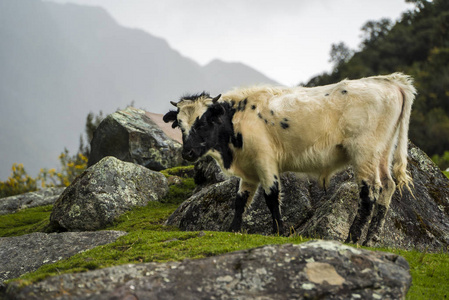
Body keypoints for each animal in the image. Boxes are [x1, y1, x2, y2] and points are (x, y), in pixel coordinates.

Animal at [163, 74, 414, 245]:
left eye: (203, 122)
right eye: (179, 125)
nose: (187, 153)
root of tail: (390, 81)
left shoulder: (265, 161)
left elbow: (271, 197)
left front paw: (279, 232)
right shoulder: (249, 170)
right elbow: (240, 200)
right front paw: (233, 229)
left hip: (364, 153)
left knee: (369, 192)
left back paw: (352, 238)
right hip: (383, 152)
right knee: (388, 187)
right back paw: (371, 239)